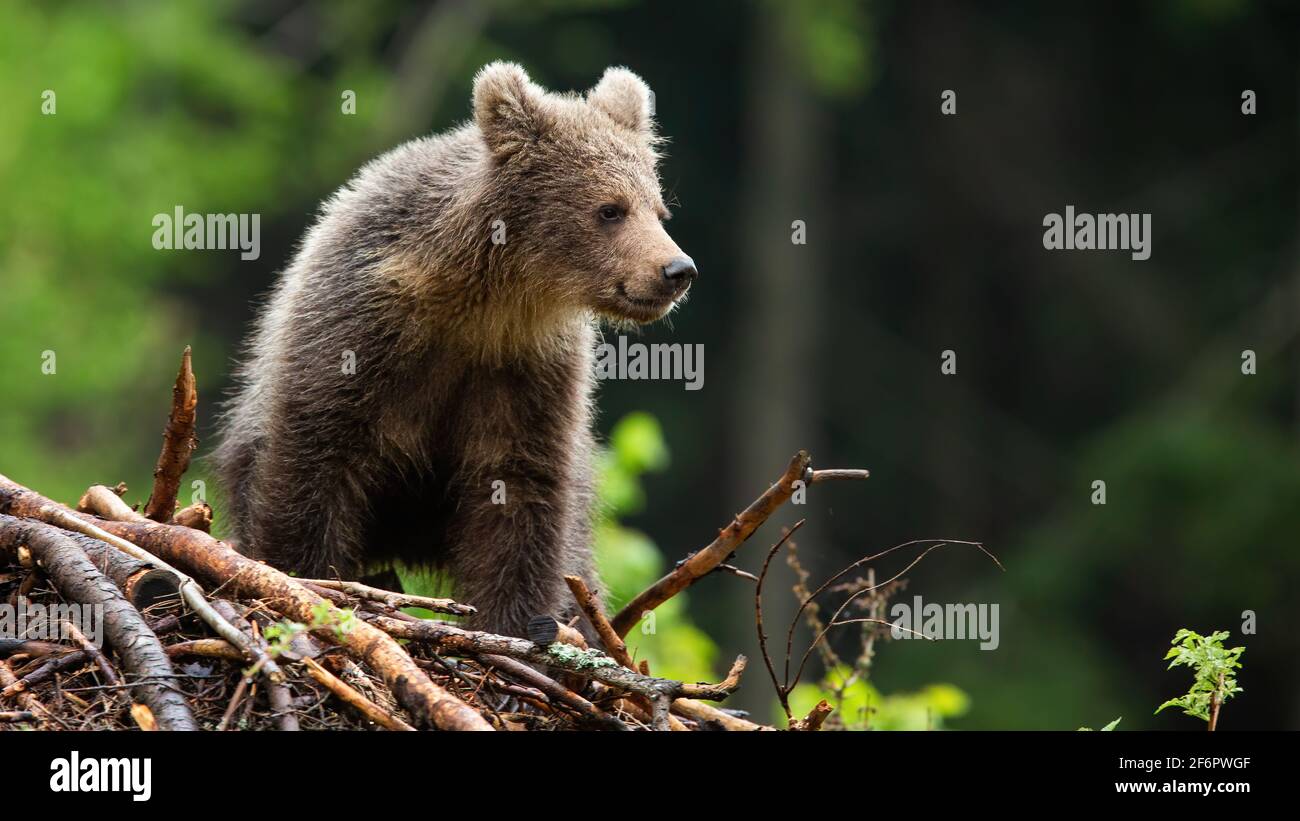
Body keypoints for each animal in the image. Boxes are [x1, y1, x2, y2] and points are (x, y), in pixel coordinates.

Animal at [212, 62, 696, 640]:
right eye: (610, 209)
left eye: (659, 208)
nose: (677, 269)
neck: (483, 300)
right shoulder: (360, 330)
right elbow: (314, 457)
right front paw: (299, 576)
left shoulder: (524, 370)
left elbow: (517, 491)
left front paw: (517, 622)